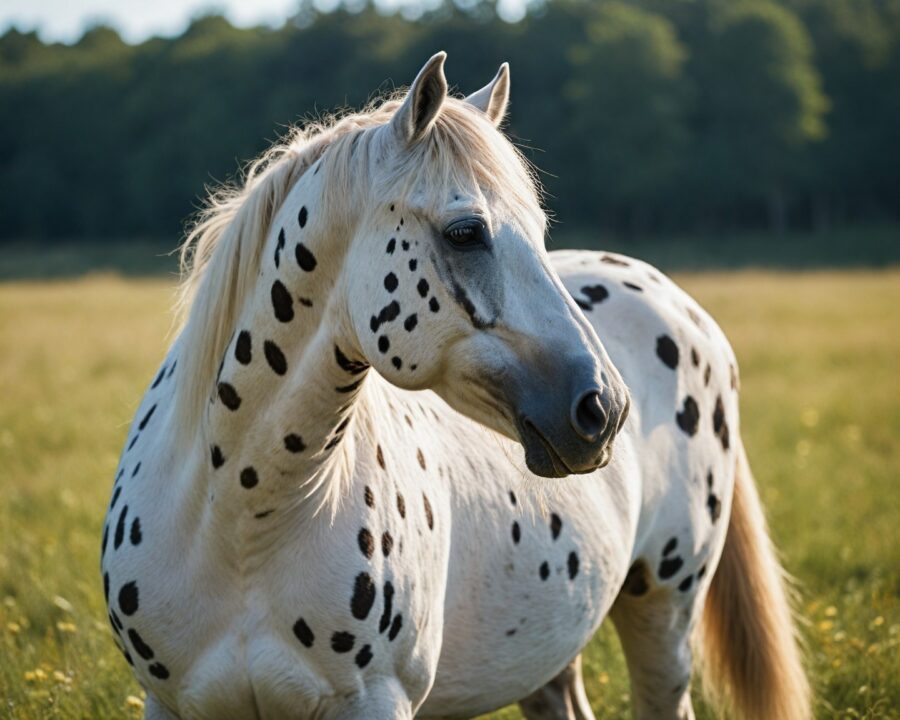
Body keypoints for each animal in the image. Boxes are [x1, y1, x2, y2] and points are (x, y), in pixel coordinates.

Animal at [100, 53, 810, 720]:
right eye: (466, 232)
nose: (604, 409)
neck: (240, 521)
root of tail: (683, 306)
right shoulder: (168, 704)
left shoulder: (377, 702)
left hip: (665, 608)